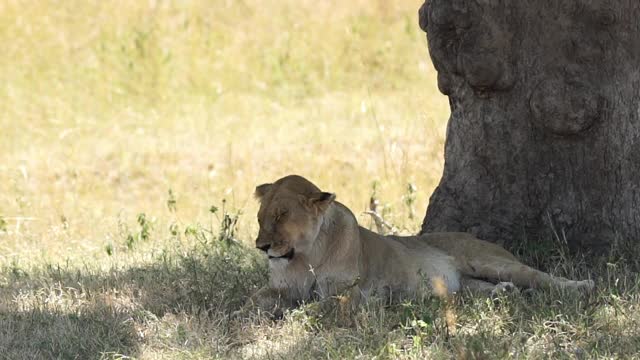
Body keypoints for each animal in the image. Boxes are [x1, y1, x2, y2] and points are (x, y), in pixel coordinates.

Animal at [246, 176, 596, 314]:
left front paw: (295, 313)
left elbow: (321, 305)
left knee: (539, 276)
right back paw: (503, 293)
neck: (306, 255)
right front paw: (254, 311)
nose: (261, 247)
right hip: (462, 284)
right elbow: (255, 298)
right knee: (475, 290)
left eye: (281, 217)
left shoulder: (351, 291)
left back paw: (581, 286)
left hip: (491, 261)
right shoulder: (282, 286)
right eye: (261, 218)